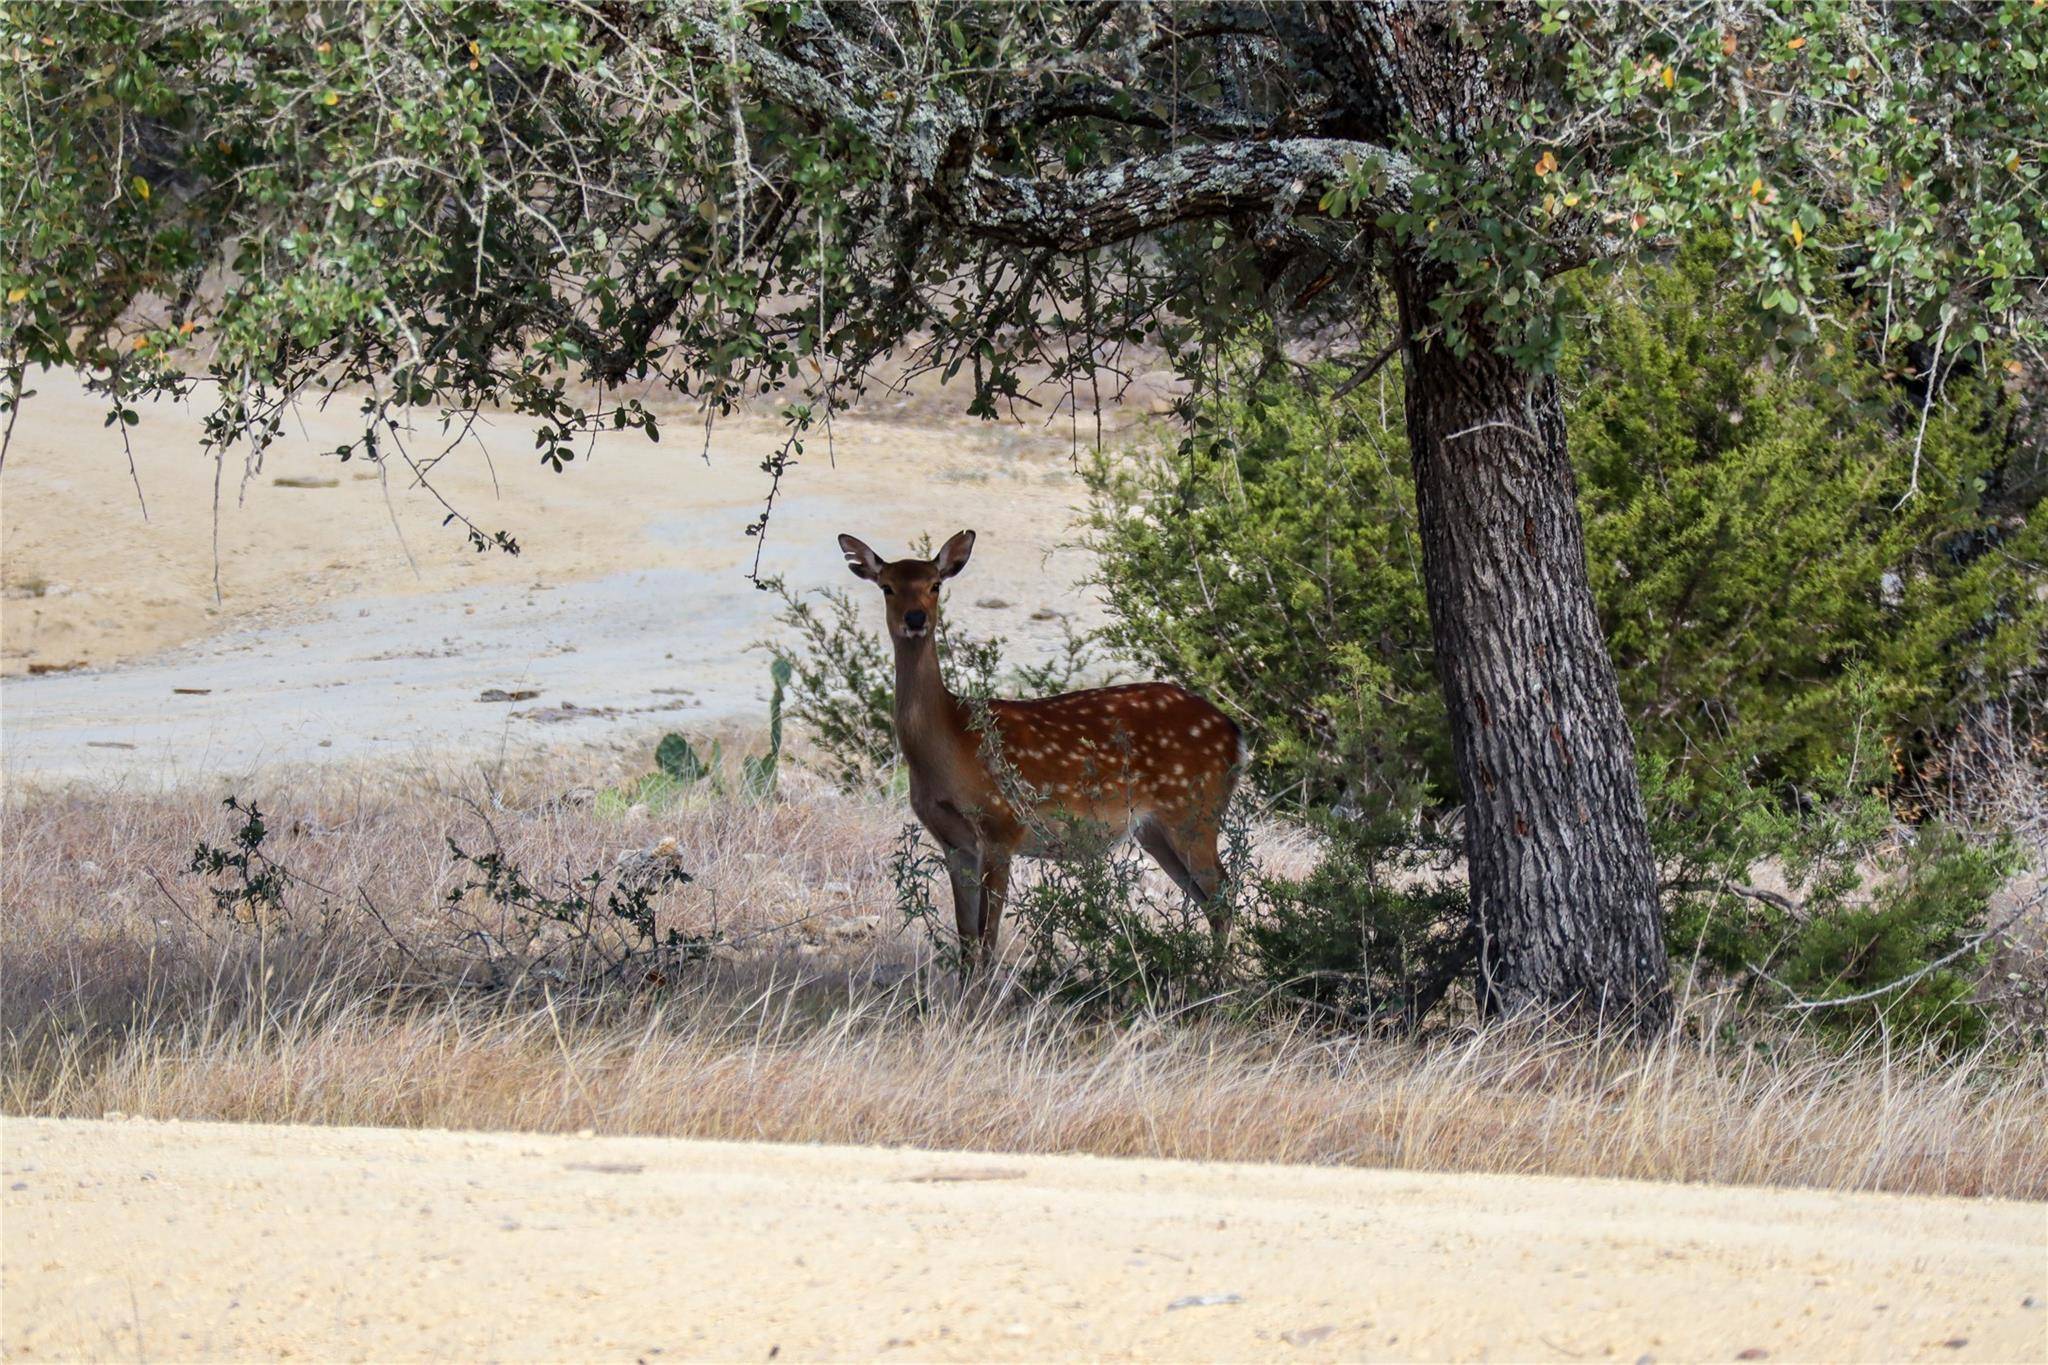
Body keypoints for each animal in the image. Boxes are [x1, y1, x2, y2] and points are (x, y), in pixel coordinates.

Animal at [835, 527, 1245, 965]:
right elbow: (966, 941)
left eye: (935, 584)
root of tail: (1234, 733)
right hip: (1157, 830)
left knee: (1224, 893)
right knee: (1211, 901)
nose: (915, 618)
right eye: (887, 587)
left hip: (1194, 810)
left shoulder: (1001, 825)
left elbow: (987, 940)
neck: (950, 742)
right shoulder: (954, 842)